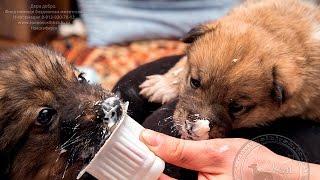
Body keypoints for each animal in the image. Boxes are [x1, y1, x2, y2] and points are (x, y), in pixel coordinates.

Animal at [140, 0, 320, 140]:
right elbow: (182, 62)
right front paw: (162, 85)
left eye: (237, 108)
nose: (192, 129)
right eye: (194, 82)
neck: (273, 29)